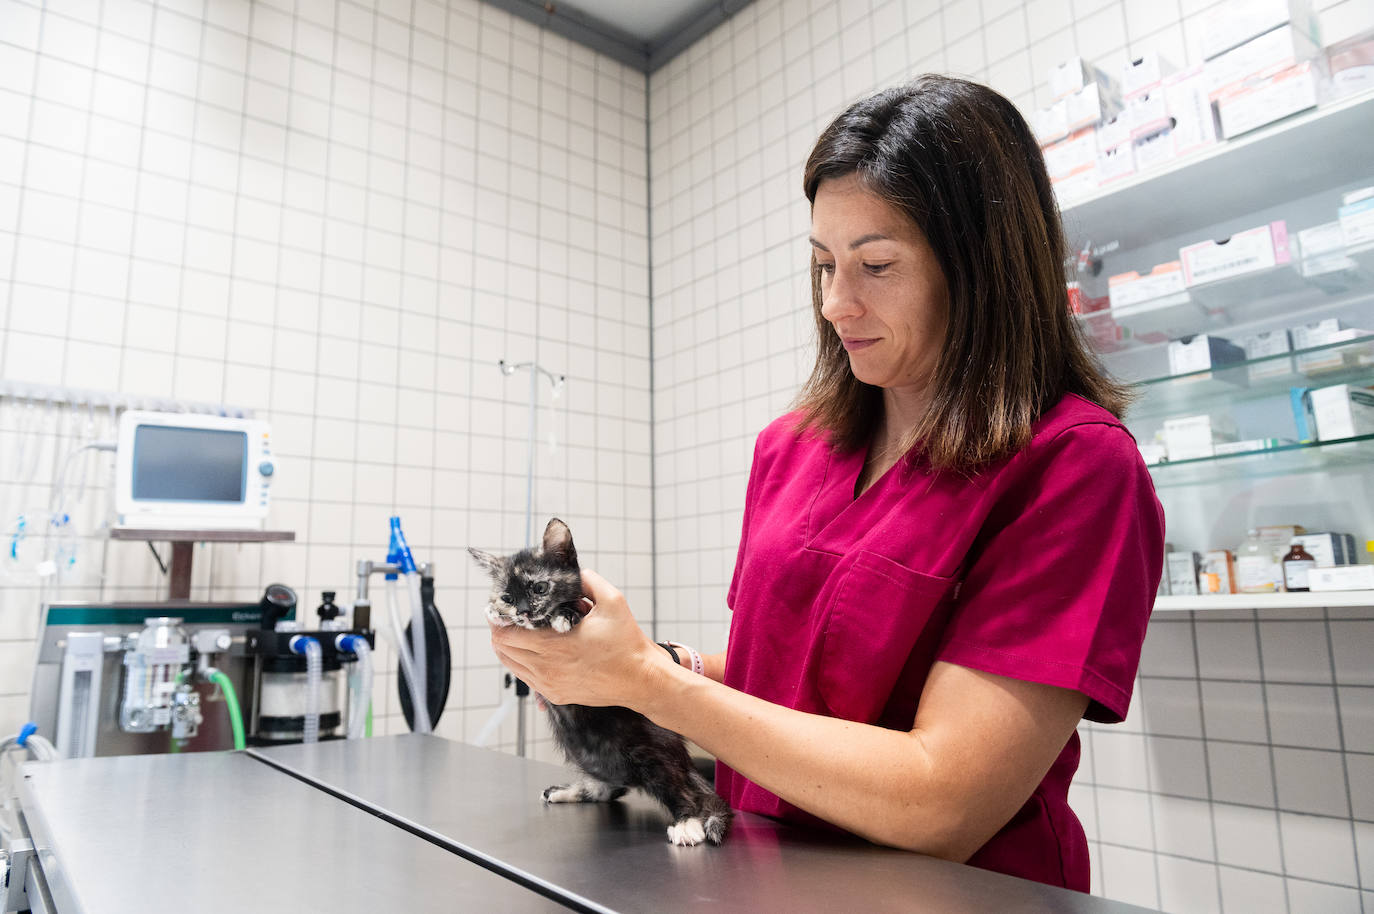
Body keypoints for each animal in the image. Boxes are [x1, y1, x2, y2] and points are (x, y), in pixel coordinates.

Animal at [469, 516, 730, 846]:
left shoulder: (590, 609)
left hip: (653, 753)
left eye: (539, 587)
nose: (525, 611)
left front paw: (563, 615)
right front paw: (496, 612)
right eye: (507, 596)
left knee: (680, 788)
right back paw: (572, 791)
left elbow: (573, 609)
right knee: (611, 787)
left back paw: (687, 822)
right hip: (589, 756)